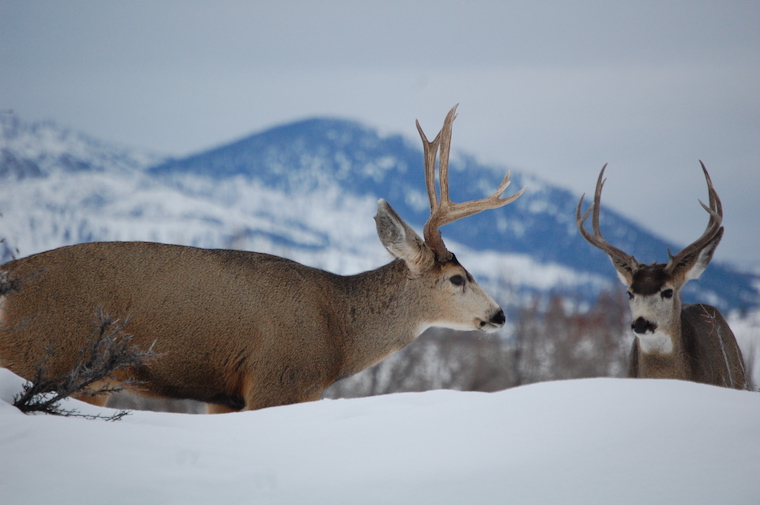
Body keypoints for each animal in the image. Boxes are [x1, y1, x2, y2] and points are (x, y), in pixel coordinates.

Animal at [0, 105, 524, 412]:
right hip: (60, 361)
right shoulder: (279, 380)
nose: (500, 314)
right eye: (457, 277)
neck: (337, 331)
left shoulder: (225, 396)